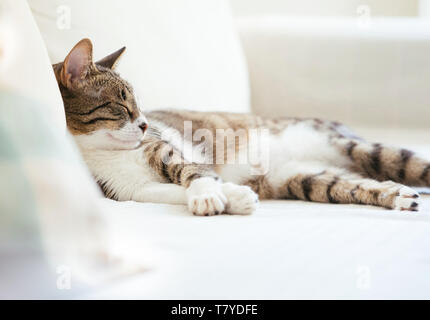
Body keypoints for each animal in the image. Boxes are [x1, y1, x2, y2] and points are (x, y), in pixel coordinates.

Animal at [53, 39, 430, 215]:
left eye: (139, 105)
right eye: (121, 106)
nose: (145, 125)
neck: (104, 152)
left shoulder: (167, 150)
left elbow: (193, 172)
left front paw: (209, 195)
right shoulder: (129, 191)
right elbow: (172, 191)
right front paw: (234, 197)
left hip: (352, 146)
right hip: (306, 178)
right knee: (359, 185)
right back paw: (397, 195)